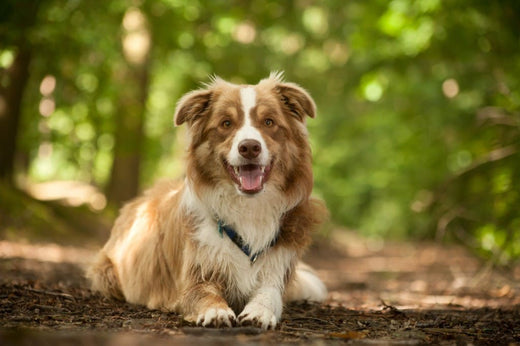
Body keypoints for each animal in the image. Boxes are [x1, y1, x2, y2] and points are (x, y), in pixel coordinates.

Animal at [87, 71, 328, 328]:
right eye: (226, 123)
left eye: (269, 122)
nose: (249, 147)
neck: (247, 207)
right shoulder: (193, 278)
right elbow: (205, 294)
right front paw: (216, 311)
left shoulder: (276, 271)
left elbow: (269, 295)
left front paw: (259, 312)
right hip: (107, 273)